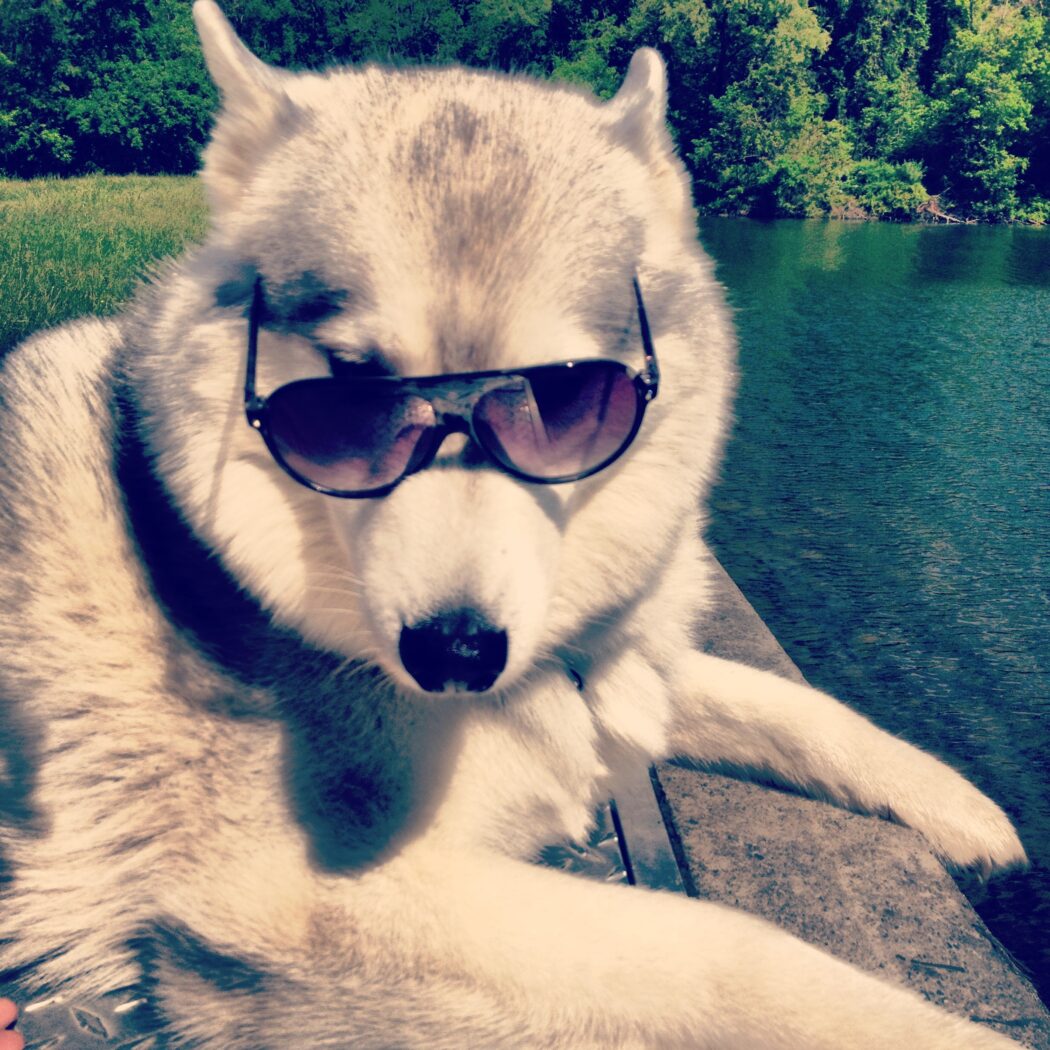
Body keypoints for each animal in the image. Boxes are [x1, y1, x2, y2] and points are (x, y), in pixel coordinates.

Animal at [0, 3, 1029, 1047]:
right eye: (348, 396)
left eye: (563, 394)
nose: (454, 651)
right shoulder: (302, 896)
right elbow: (727, 953)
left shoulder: (615, 665)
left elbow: (788, 706)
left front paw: (962, 808)